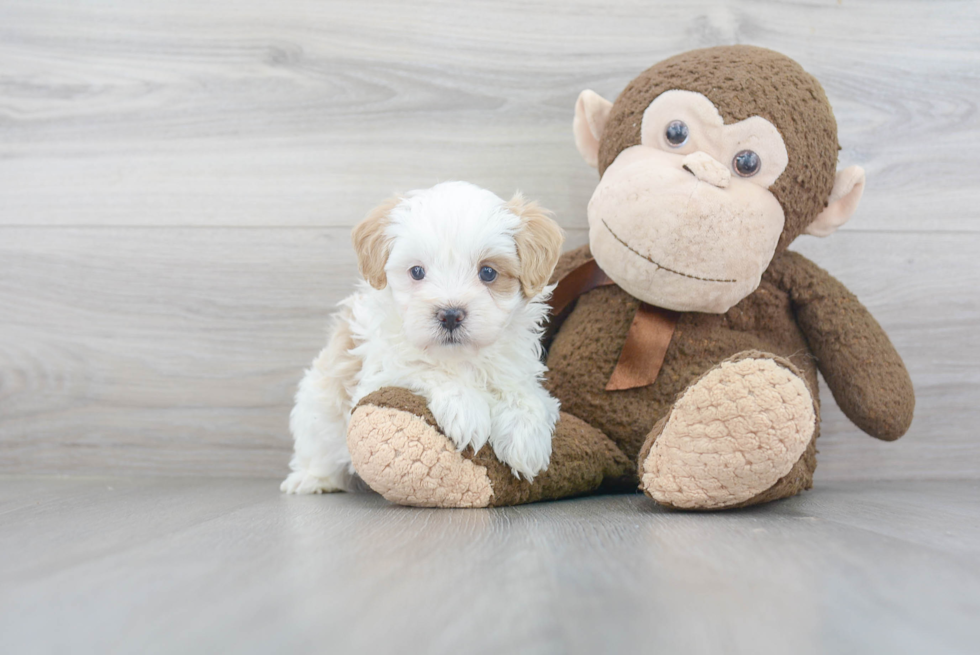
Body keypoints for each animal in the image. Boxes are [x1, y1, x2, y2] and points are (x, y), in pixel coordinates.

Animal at [280, 182, 564, 494]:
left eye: (488, 272)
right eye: (417, 272)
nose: (450, 315)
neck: (459, 358)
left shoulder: (518, 368)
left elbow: (524, 393)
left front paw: (526, 437)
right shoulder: (377, 374)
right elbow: (422, 368)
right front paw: (466, 408)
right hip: (315, 411)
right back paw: (312, 478)